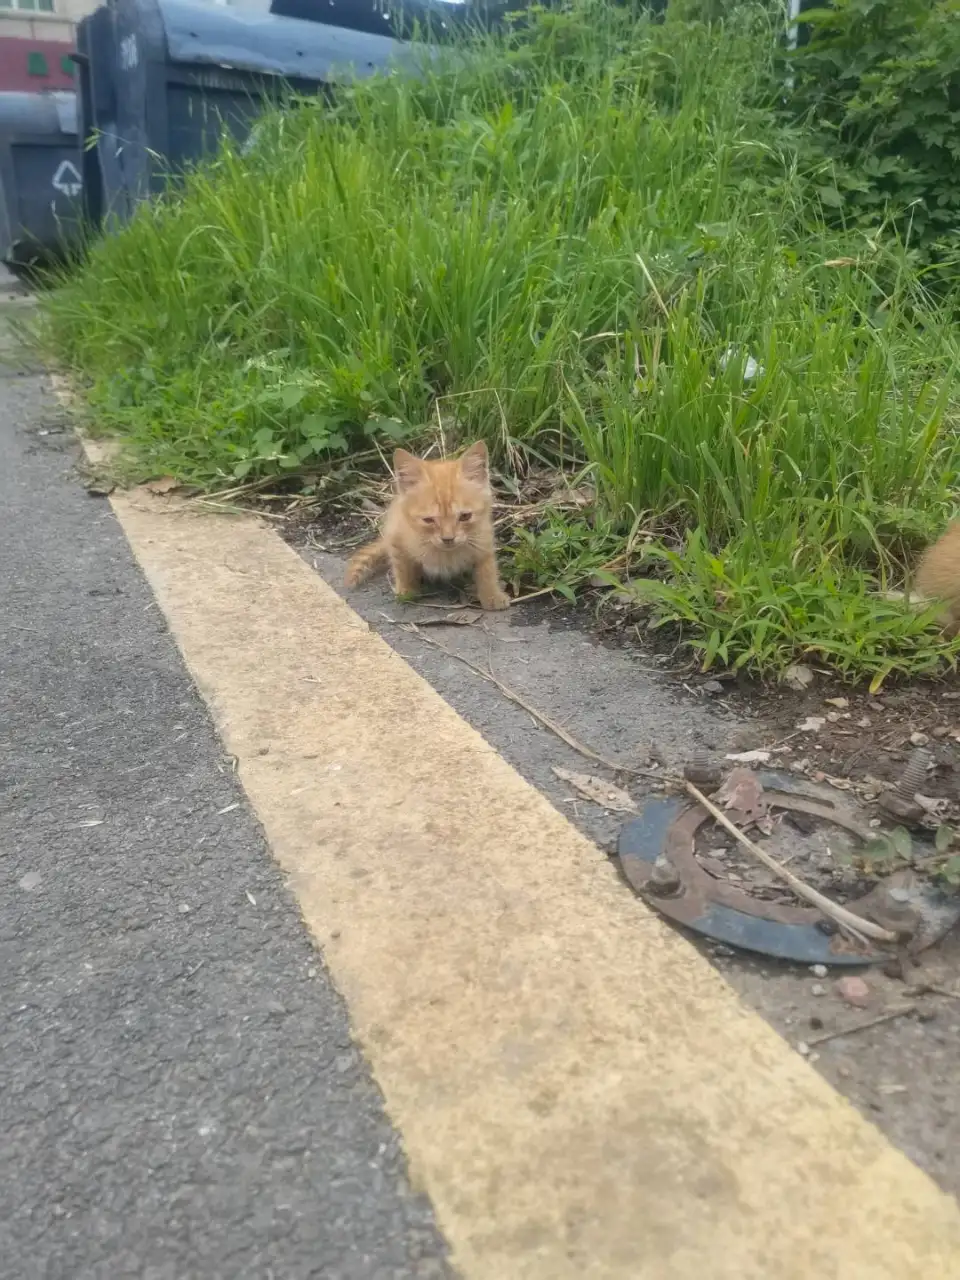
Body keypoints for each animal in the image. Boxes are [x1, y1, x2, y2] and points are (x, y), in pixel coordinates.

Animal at [343, 440, 512, 609]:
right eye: (429, 520)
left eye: (465, 516)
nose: (448, 538)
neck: (445, 555)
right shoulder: (396, 537)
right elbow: (402, 567)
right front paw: (406, 591)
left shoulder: (484, 538)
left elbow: (487, 569)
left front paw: (492, 596)